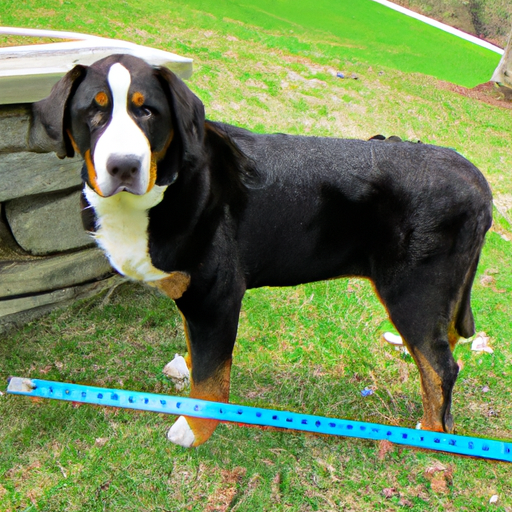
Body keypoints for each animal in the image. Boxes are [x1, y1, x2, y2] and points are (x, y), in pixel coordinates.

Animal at [33, 54, 492, 448]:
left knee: (440, 366)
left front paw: (193, 430)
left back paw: (429, 435)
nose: (124, 166)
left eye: (147, 112)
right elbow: (199, 355)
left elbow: (211, 378)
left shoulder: (215, 297)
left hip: (413, 291)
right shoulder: (193, 298)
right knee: (445, 344)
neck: (163, 188)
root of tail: (477, 179)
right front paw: (186, 368)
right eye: (94, 111)